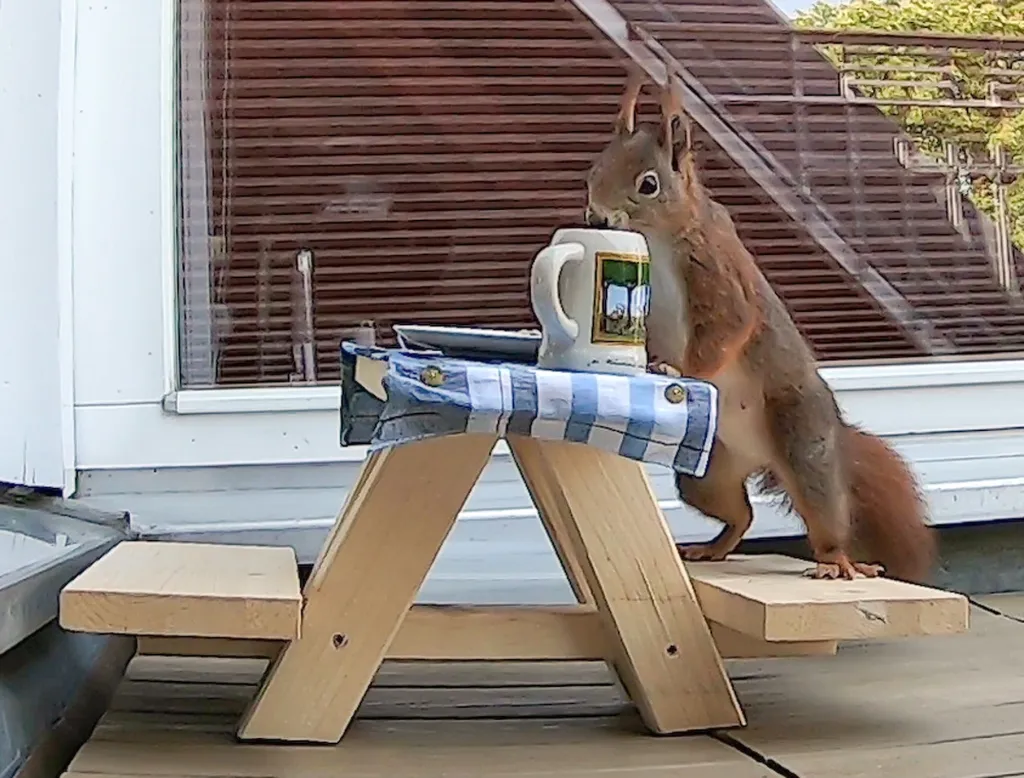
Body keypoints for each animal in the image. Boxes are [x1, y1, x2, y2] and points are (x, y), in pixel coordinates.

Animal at [581, 74, 933, 581]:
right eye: (594, 171)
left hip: (802, 442)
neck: (661, 236)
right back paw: (714, 547)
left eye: (648, 184)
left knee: (825, 511)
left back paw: (837, 561)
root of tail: (760, 456)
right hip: (706, 473)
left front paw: (681, 372)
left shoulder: (719, 275)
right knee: (740, 513)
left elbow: (727, 328)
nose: (597, 217)